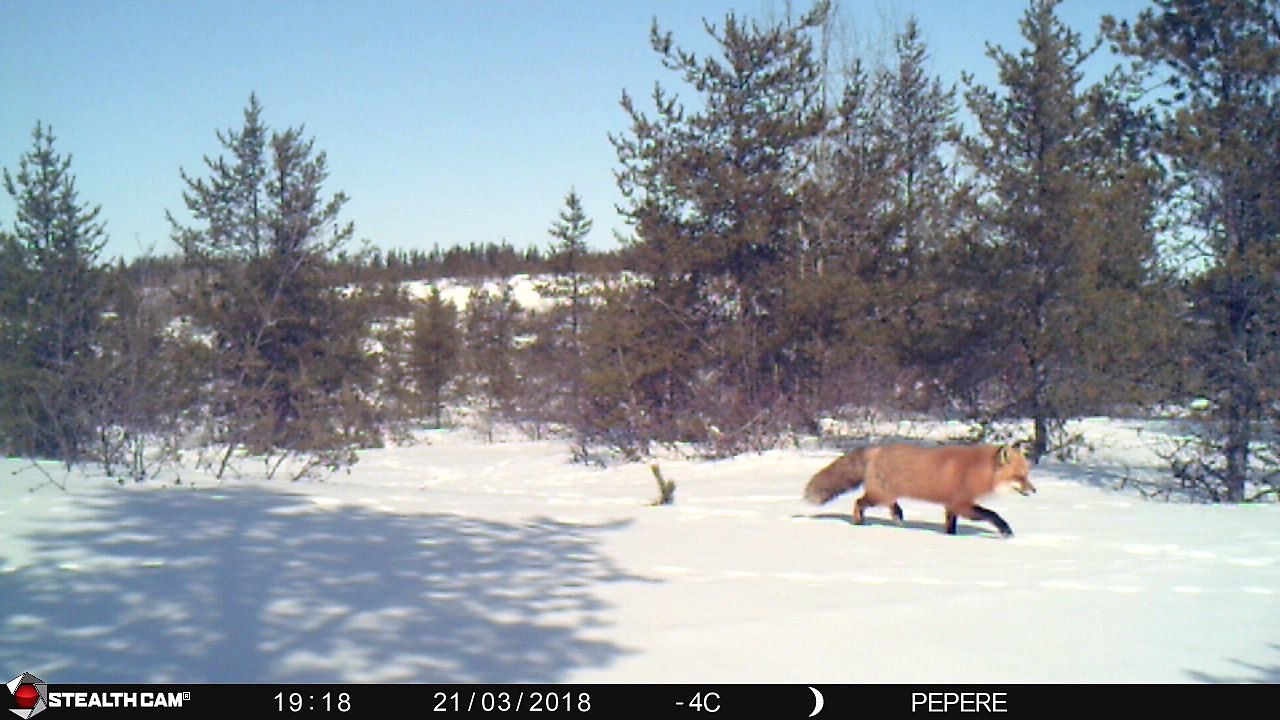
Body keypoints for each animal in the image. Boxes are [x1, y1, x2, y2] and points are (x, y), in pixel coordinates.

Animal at [803, 443, 1035, 537]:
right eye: (1020, 477)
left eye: (1027, 474)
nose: (1034, 491)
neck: (975, 470)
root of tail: (877, 449)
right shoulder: (963, 504)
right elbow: (992, 514)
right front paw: (1005, 530)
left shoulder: (951, 505)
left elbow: (950, 526)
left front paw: (951, 538)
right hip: (878, 495)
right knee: (859, 503)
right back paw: (859, 523)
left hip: (887, 493)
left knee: (892, 507)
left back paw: (899, 520)